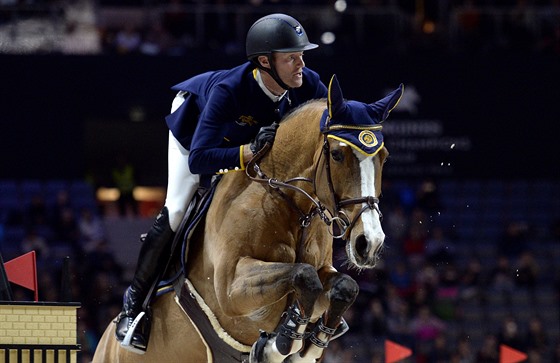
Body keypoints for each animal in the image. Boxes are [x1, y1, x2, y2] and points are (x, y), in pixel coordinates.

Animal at [94, 75, 404, 362]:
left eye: (385, 157)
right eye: (338, 155)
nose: (370, 243)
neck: (290, 205)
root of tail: (106, 340)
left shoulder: (322, 271)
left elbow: (343, 286)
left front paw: (305, 347)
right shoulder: (230, 287)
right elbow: (303, 276)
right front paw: (281, 344)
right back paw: (130, 322)